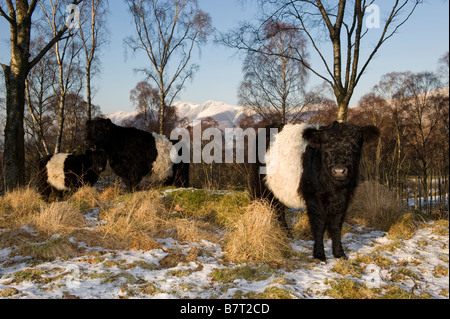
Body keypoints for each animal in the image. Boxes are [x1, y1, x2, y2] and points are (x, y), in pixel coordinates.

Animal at [250, 121, 380, 262]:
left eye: (354, 144)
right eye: (326, 145)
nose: (339, 170)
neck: (334, 187)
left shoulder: (343, 198)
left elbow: (336, 224)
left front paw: (339, 253)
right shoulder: (312, 195)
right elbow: (319, 222)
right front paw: (319, 254)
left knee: (279, 209)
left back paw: (287, 236)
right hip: (259, 185)